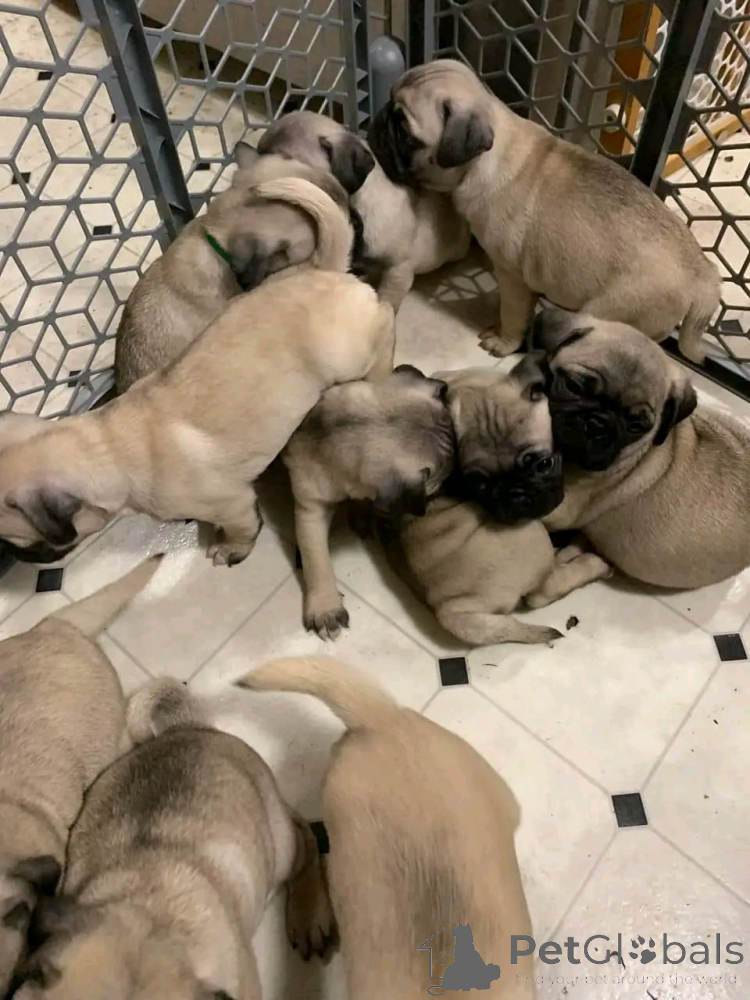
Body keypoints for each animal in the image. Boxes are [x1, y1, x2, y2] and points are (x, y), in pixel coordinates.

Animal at [0, 269, 395, 566]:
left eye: (20, 542)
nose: (18, 558)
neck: (106, 444)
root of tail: (345, 281)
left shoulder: (232, 504)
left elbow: (241, 528)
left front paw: (231, 549)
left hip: (348, 357)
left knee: (386, 317)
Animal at [282, 364, 456, 639]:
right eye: (435, 489)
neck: (349, 425)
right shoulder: (311, 508)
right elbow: (316, 560)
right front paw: (325, 607)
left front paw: (361, 511)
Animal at [368, 58, 721, 363]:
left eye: (404, 131)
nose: (379, 118)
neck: (488, 157)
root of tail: (701, 274)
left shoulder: (511, 276)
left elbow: (512, 313)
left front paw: (503, 341)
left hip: (610, 309)